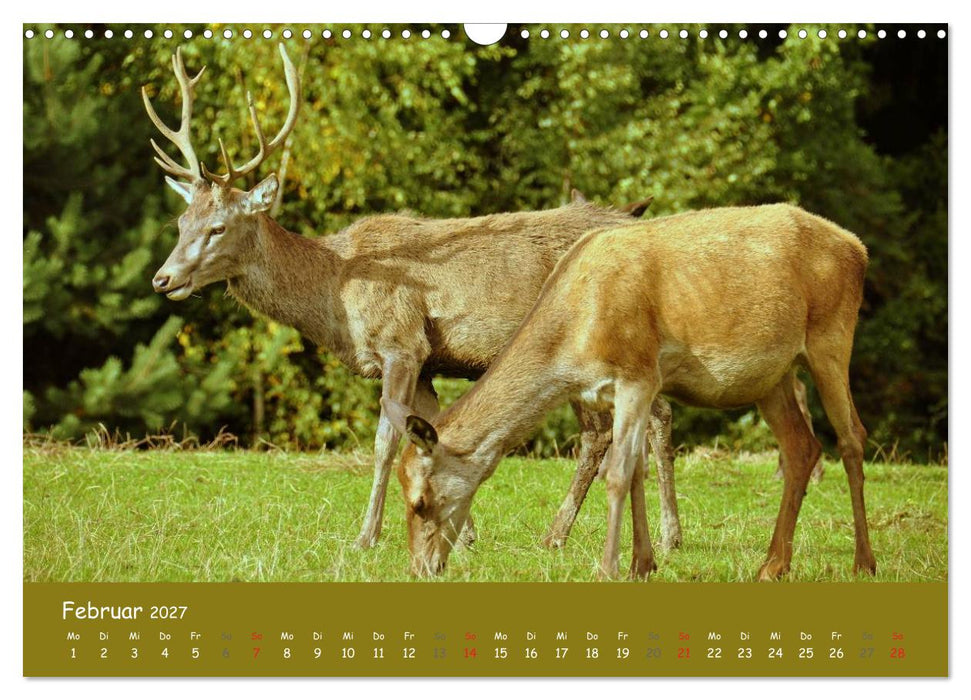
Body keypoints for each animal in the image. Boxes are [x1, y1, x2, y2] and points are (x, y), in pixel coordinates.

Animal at [143, 45, 682, 552]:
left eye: (218, 227)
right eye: (181, 222)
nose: (162, 279)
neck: (337, 295)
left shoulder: (402, 343)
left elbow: (386, 440)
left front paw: (367, 536)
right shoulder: (427, 361)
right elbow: (433, 431)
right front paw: (462, 536)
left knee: (613, 427)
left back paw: (581, 535)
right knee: (649, 415)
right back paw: (651, 535)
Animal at [387, 203, 876, 581]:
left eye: (419, 501)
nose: (420, 567)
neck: (576, 336)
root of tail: (858, 247)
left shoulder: (637, 375)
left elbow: (619, 473)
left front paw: (609, 568)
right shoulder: (610, 391)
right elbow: (636, 471)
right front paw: (644, 564)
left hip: (831, 339)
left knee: (852, 437)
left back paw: (863, 562)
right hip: (772, 378)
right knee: (801, 447)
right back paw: (773, 565)